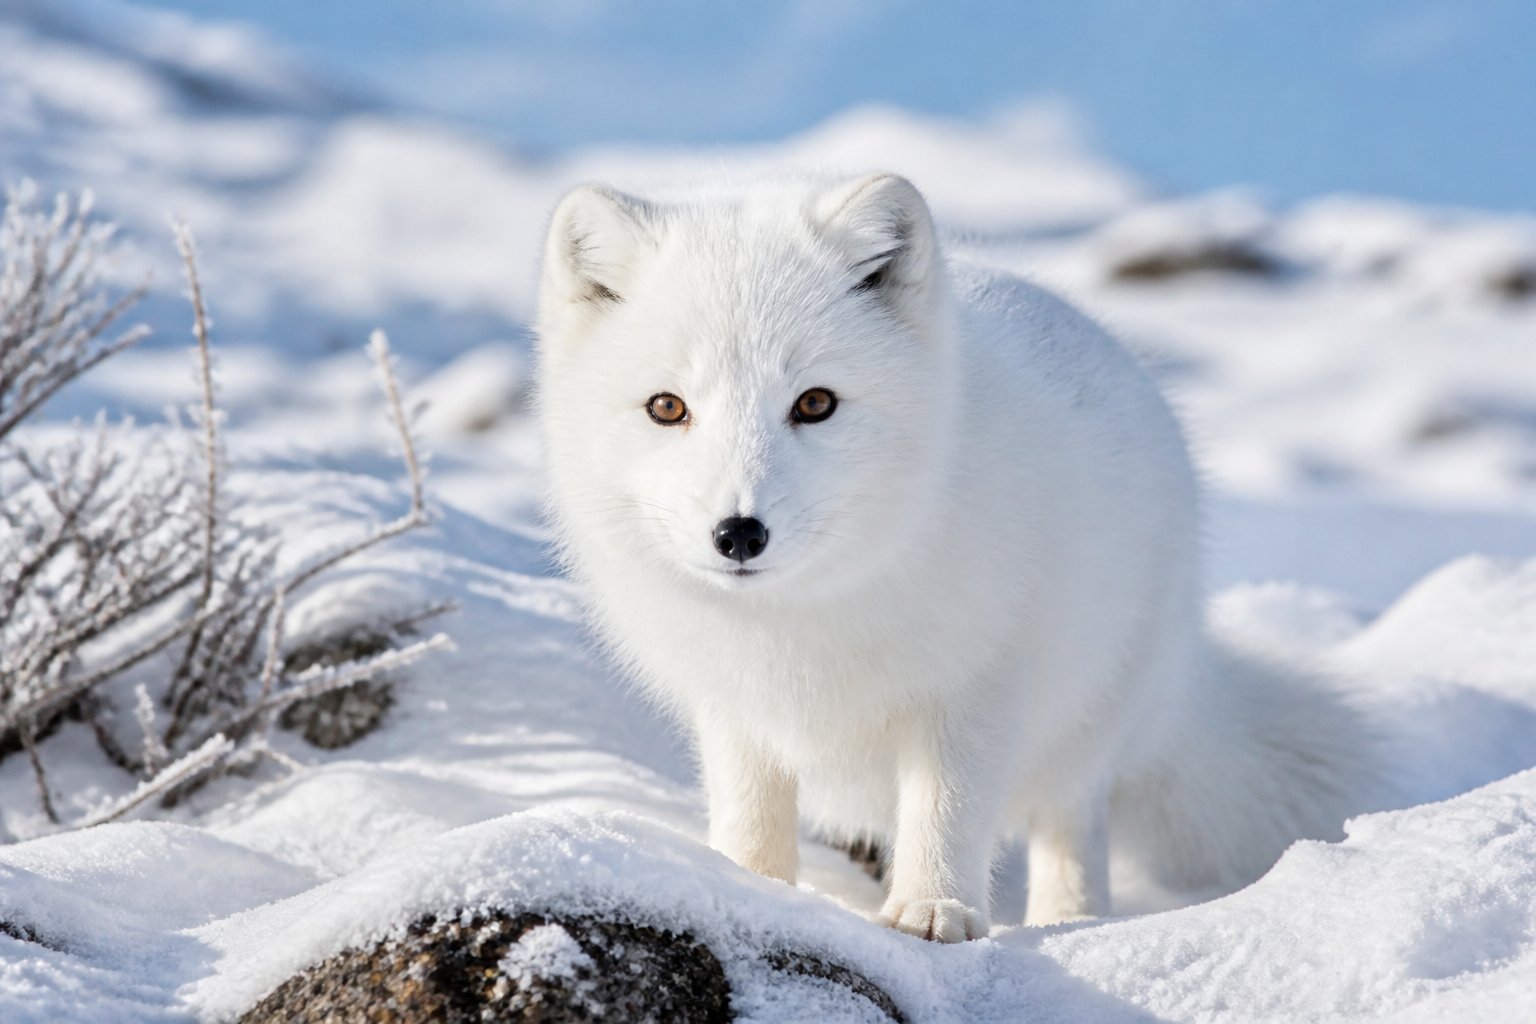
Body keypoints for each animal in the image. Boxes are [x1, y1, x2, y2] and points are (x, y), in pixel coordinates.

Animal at [534, 172, 1377, 941]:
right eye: (667, 408)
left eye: (815, 403)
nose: (738, 533)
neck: (807, 617)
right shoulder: (738, 708)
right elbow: (751, 817)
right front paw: (750, 889)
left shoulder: (977, 687)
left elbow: (949, 810)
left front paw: (935, 912)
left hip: (1092, 711)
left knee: (1071, 822)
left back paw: (1067, 921)